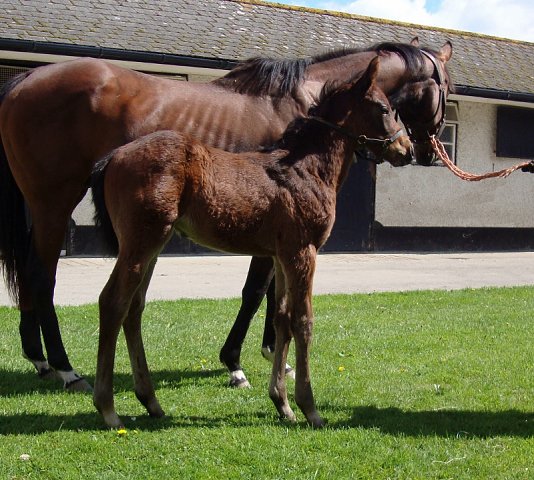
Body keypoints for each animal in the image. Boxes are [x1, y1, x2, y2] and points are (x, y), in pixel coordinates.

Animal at [0, 37, 452, 390]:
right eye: (444, 89)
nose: (423, 151)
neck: (306, 100)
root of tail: (25, 79)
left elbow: (273, 291)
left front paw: (275, 353)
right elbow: (255, 290)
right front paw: (236, 363)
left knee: (30, 273)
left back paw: (39, 358)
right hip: (55, 203)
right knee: (42, 276)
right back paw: (64, 368)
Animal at [89, 57, 414, 428]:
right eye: (384, 108)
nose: (407, 149)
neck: (306, 167)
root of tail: (113, 156)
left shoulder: (282, 255)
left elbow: (282, 318)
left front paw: (282, 404)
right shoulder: (303, 251)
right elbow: (303, 321)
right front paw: (310, 408)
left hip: (154, 245)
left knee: (134, 308)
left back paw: (151, 401)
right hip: (140, 243)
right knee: (113, 302)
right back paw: (108, 408)